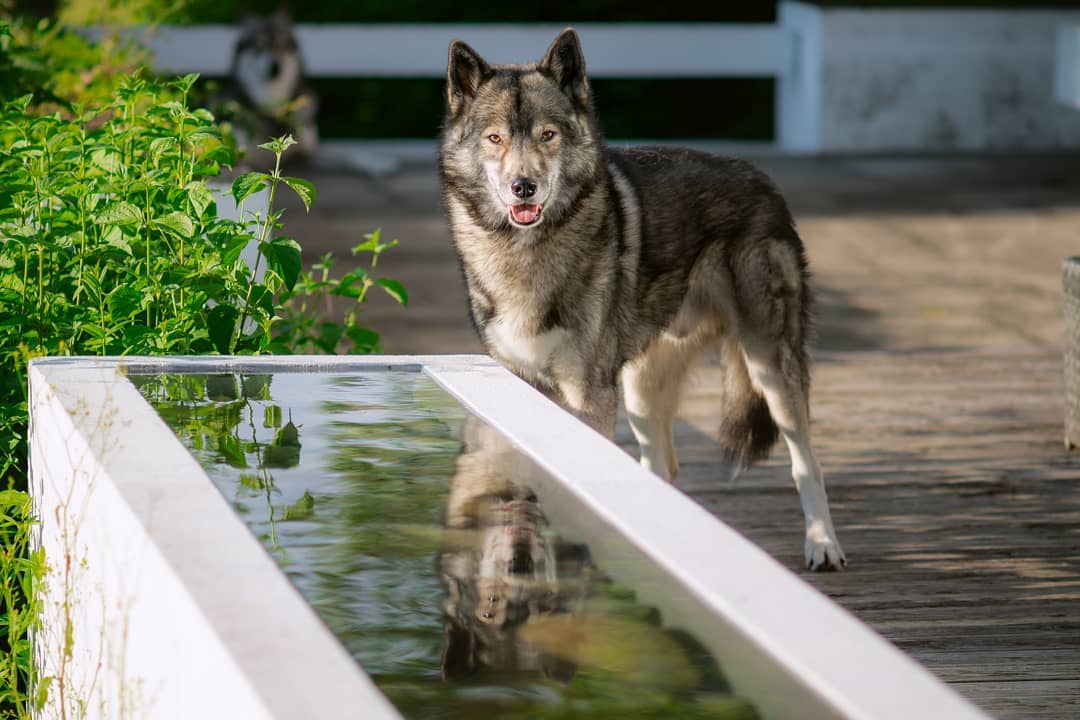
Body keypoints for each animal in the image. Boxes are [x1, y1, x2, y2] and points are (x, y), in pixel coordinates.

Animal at [438, 28, 842, 569]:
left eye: (547, 135)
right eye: (495, 138)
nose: (524, 187)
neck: (524, 252)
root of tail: (763, 180)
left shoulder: (589, 395)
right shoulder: (522, 384)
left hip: (767, 368)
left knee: (806, 461)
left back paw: (823, 545)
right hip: (642, 392)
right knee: (663, 468)